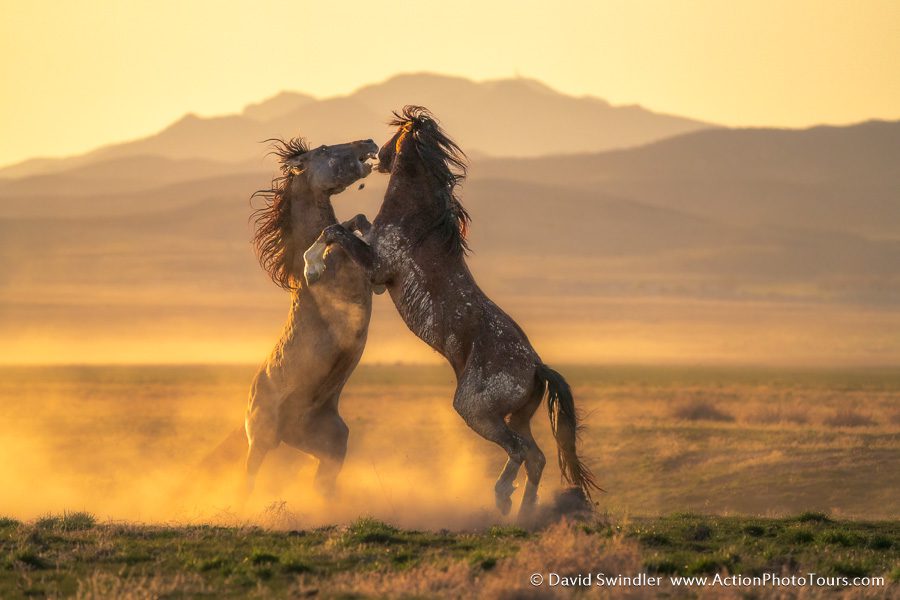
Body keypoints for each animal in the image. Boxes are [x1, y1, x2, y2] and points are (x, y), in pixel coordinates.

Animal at [306, 106, 600, 516]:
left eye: (395, 135)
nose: (378, 154)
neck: (417, 223)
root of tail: (537, 366)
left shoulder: (378, 265)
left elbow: (335, 231)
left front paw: (311, 268)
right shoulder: (373, 247)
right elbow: (354, 223)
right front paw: (312, 265)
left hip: (477, 412)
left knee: (519, 451)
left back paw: (503, 498)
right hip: (517, 416)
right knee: (536, 456)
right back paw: (524, 511)